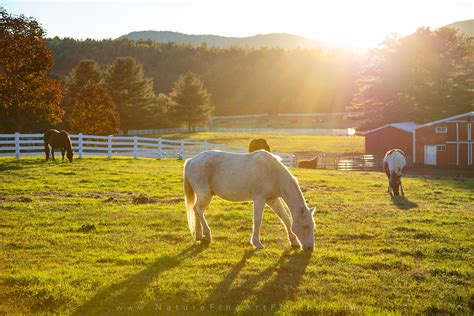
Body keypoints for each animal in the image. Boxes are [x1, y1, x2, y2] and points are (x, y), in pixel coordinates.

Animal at [184, 149, 314, 251]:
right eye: (306, 226)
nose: (310, 248)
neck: (273, 173)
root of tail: (191, 160)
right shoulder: (260, 199)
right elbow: (257, 220)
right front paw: (257, 243)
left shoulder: (273, 200)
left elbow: (286, 219)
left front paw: (294, 241)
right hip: (205, 196)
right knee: (198, 210)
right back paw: (207, 235)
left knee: (196, 210)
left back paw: (199, 235)